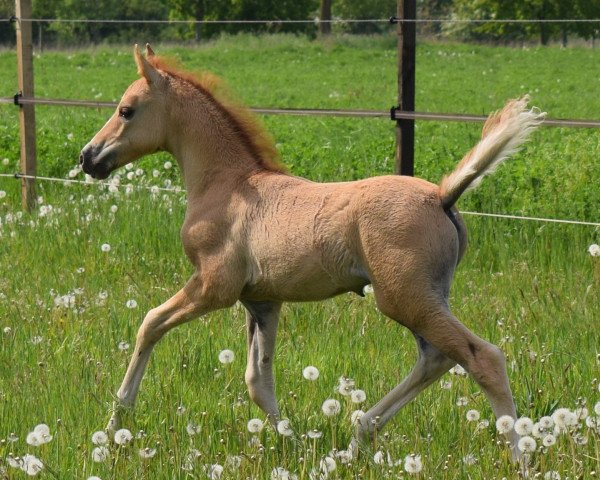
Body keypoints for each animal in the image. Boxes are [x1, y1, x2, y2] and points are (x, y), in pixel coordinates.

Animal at [79, 43, 544, 456]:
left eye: (126, 110)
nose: (88, 157)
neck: (228, 185)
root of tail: (442, 195)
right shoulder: (263, 301)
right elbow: (258, 381)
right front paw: (296, 444)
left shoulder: (214, 286)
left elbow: (150, 324)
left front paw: (115, 422)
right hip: (421, 299)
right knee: (436, 358)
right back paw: (357, 438)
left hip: (405, 298)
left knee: (482, 358)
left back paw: (519, 458)